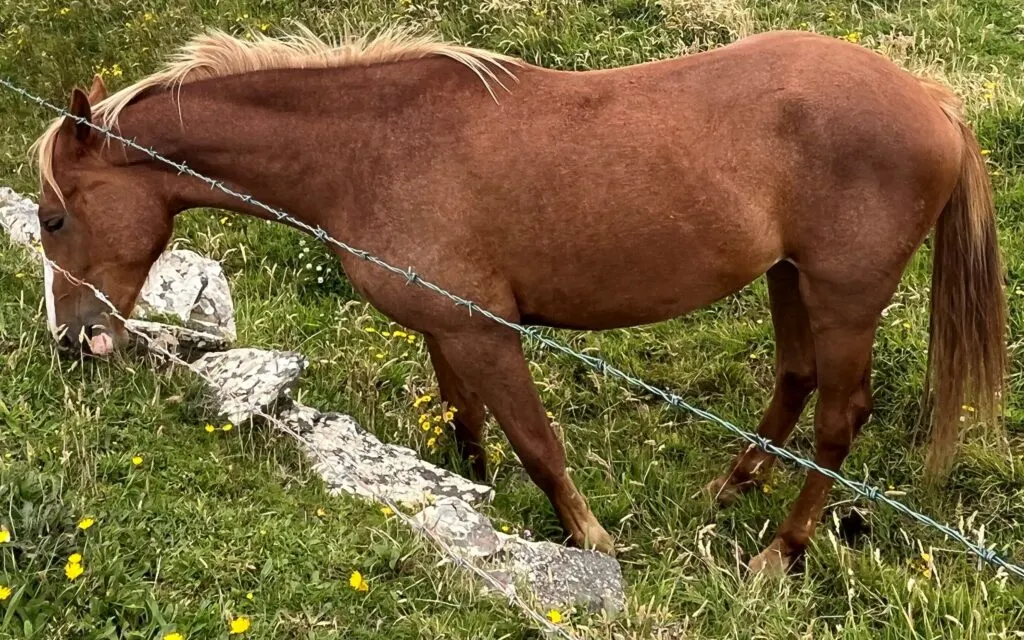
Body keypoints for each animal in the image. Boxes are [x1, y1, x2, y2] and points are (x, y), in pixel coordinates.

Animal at [34, 26, 1007, 573]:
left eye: (52, 217)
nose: (72, 342)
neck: (372, 149)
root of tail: (931, 101)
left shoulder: (485, 331)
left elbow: (539, 445)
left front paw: (592, 543)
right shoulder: (443, 327)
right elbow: (466, 421)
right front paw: (471, 492)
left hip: (844, 296)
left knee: (841, 415)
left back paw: (782, 551)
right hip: (787, 277)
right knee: (795, 381)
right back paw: (732, 486)